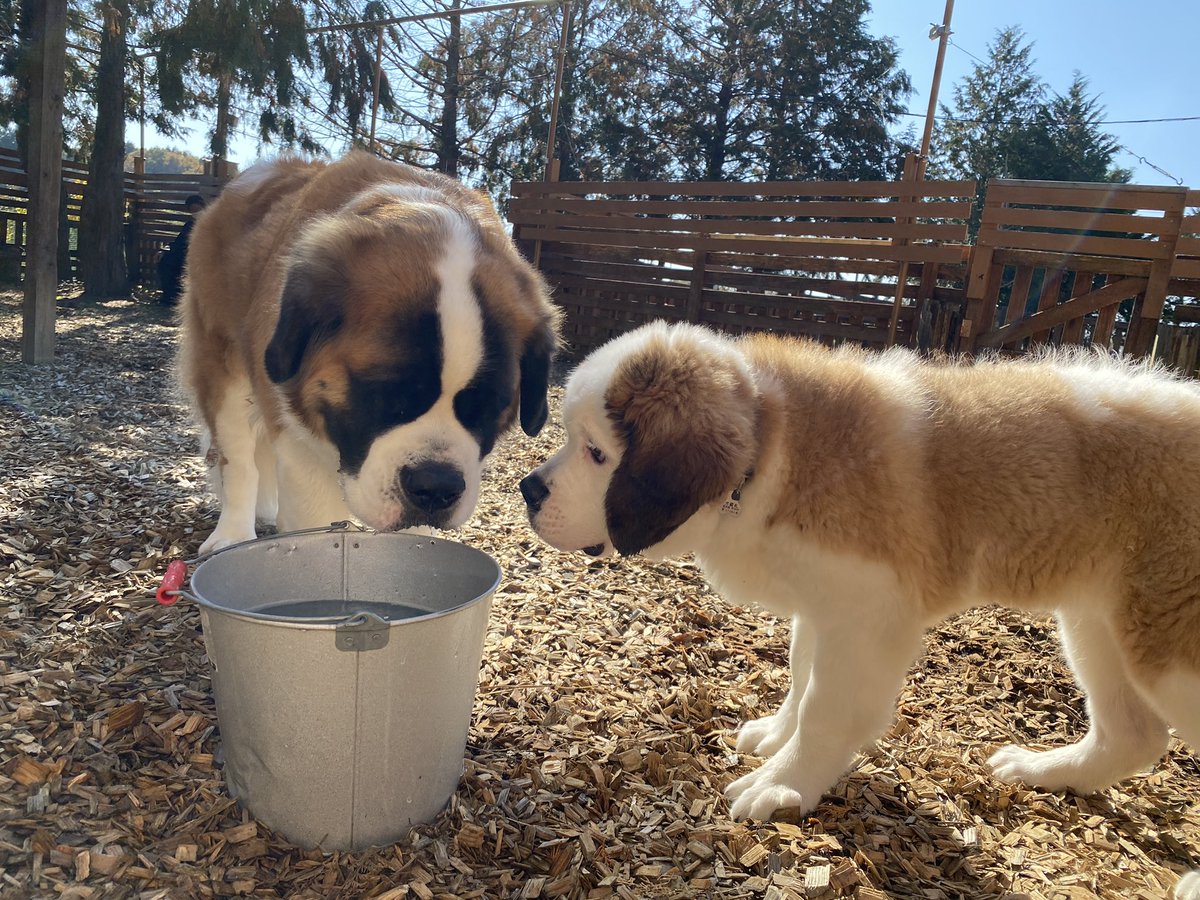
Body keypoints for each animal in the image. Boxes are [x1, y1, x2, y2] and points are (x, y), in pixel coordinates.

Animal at [176, 151, 556, 554]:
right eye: (384, 392)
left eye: (487, 405)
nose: (436, 487)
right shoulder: (297, 444)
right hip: (224, 369)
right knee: (237, 460)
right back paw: (232, 535)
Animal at [520, 321, 1200, 897]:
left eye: (597, 454)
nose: (528, 489)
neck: (771, 443)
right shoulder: (824, 606)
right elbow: (801, 676)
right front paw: (777, 737)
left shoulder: (866, 612)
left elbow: (825, 708)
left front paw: (784, 784)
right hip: (1100, 619)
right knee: (1133, 734)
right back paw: (1048, 770)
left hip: (1167, 637)